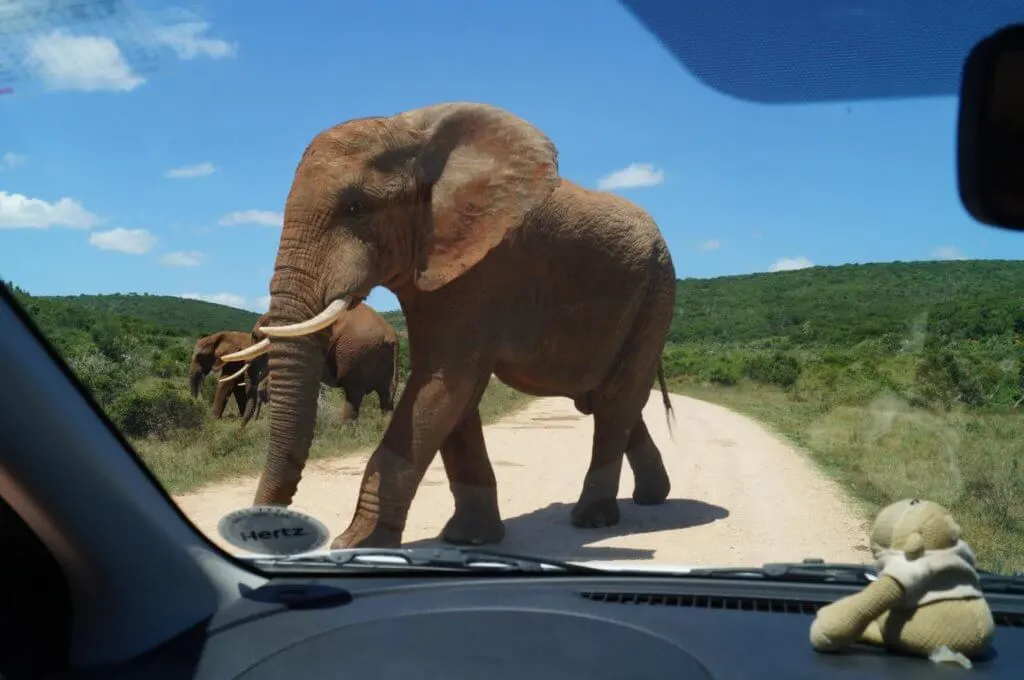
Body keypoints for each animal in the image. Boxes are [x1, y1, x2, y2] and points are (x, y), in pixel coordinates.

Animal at [228, 305, 399, 428]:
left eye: (255, 336)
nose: (240, 430)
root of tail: (391, 335)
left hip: (356, 353)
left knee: (354, 392)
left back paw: (344, 431)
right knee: (386, 396)